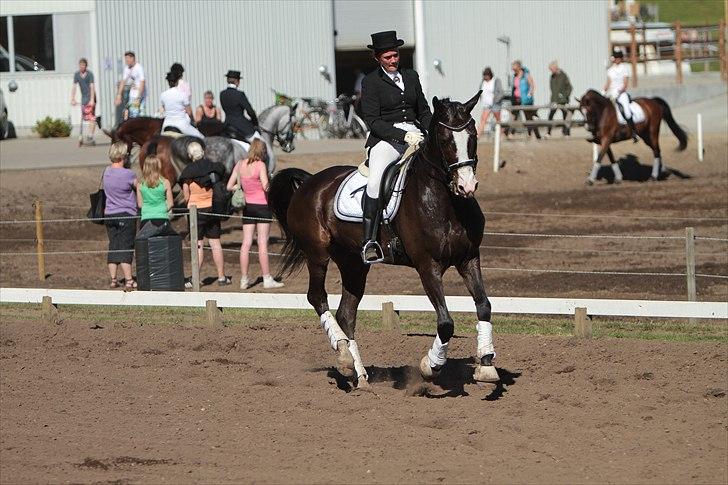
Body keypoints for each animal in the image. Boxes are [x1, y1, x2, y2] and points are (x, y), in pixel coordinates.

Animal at [268, 91, 500, 390]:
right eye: (445, 140)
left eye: (472, 136)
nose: (466, 187)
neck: (447, 203)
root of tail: (309, 182)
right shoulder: (428, 266)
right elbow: (446, 322)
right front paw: (430, 366)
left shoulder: (469, 258)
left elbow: (484, 306)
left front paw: (487, 366)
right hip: (316, 253)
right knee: (317, 297)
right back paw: (343, 355)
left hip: (354, 263)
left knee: (346, 314)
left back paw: (359, 376)